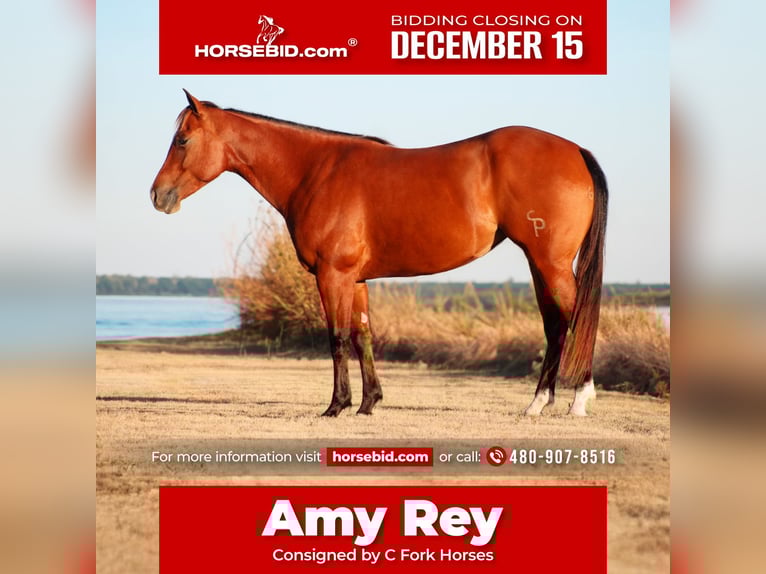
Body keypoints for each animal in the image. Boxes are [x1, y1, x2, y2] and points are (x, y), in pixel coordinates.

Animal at [150, 90, 608, 417]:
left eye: (182, 139)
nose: (158, 196)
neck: (315, 171)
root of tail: (575, 150)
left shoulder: (331, 275)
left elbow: (336, 337)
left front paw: (336, 406)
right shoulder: (356, 279)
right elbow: (363, 335)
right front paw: (369, 403)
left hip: (550, 263)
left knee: (577, 318)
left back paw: (578, 401)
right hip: (539, 264)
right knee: (555, 325)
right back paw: (537, 403)